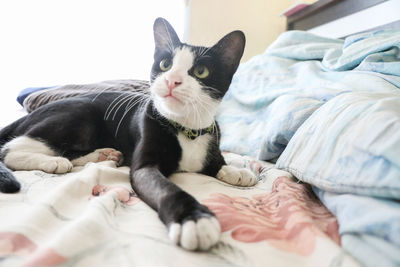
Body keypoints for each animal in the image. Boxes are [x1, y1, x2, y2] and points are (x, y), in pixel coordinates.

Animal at [0, 18, 256, 251]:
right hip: (80, 114)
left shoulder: (209, 136)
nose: (172, 80)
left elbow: (216, 161)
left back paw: (103, 155)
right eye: (165, 64)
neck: (186, 128)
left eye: (201, 71)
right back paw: (53, 162)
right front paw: (194, 218)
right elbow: (166, 188)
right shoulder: (145, 165)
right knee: (11, 149)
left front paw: (237, 171)